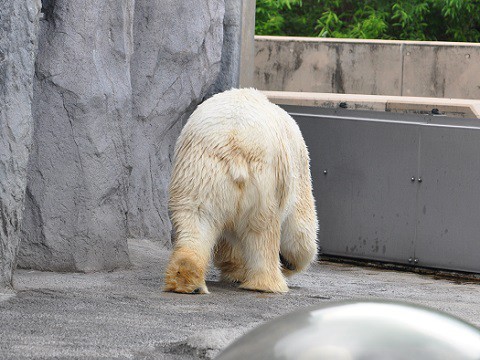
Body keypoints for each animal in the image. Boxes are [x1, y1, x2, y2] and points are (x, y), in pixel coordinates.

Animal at [165, 88, 318, 294]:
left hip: (200, 174)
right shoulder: (298, 165)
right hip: (263, 186)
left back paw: (185, 277)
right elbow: (300, 227)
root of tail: (235, 145)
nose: (287, 264)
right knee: (262, 230)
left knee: (197, 218)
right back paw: (266, 284)